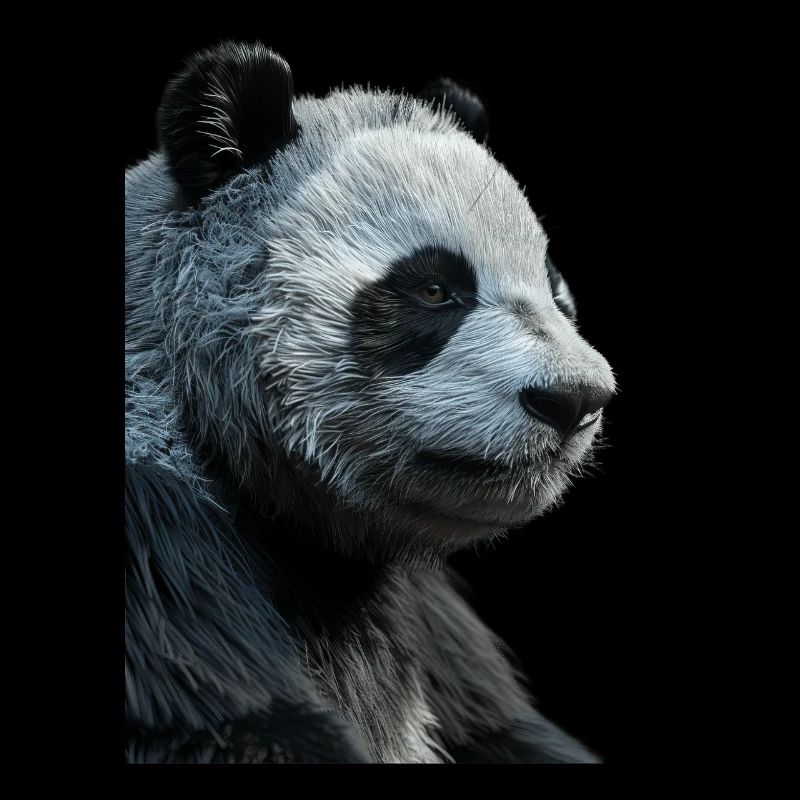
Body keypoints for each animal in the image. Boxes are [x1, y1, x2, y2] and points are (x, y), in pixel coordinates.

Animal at [125, 40, 616, 763]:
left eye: (555, 287)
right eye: (434, 289)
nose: (573, 399)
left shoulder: (418, 614)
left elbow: (497, 727)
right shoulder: (154, 536)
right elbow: (227, 722)